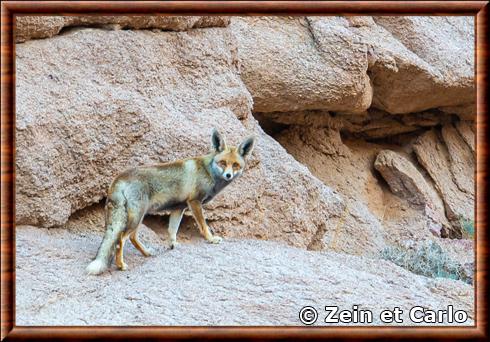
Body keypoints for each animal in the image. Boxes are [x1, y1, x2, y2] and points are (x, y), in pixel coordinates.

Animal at [85, 128, 256, 276]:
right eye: (223, 163)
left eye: (235, 165)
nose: (228, 175)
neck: (208, 171)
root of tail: (119, 177)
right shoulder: (195, 202)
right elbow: (203, 225)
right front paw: (211, 239)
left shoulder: (178, 208)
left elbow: (172, 230)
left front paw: (172, 245)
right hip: (137, 216)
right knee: (120, 239)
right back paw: (121, 265)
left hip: (138, 216)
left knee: (132, 238)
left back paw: (147, 252)